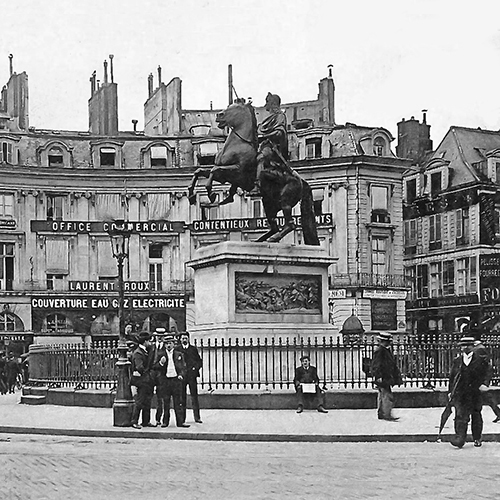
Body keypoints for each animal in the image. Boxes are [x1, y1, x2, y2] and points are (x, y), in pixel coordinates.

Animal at [188, 98, 320, 245]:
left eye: (234, 108)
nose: (219, 115)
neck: (239, 143)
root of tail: (302, 181)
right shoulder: (224, 177)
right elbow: (200, 171)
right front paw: (191, 194)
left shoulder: (236, 171)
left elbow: (213, 170)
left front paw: (211, 194)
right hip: (269, 204)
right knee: (274, 226)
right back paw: (260, 240)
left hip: (285, 201)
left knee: (290, 224)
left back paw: (274, 238)